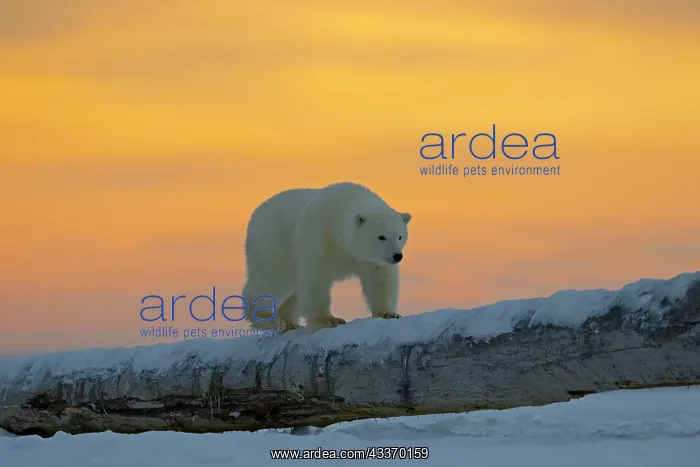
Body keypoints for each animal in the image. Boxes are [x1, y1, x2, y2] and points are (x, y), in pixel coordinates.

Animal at [241, 182, 412, 333]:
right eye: (381, 237)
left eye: (400, 236)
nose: (397, 256)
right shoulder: (319, 239)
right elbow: (316, 278)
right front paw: (328, 320)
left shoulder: (369, 258)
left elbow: (380, 278)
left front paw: (388, 313)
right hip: (273, 245)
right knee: (272, 279)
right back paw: (269, 319)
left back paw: (291, 323)